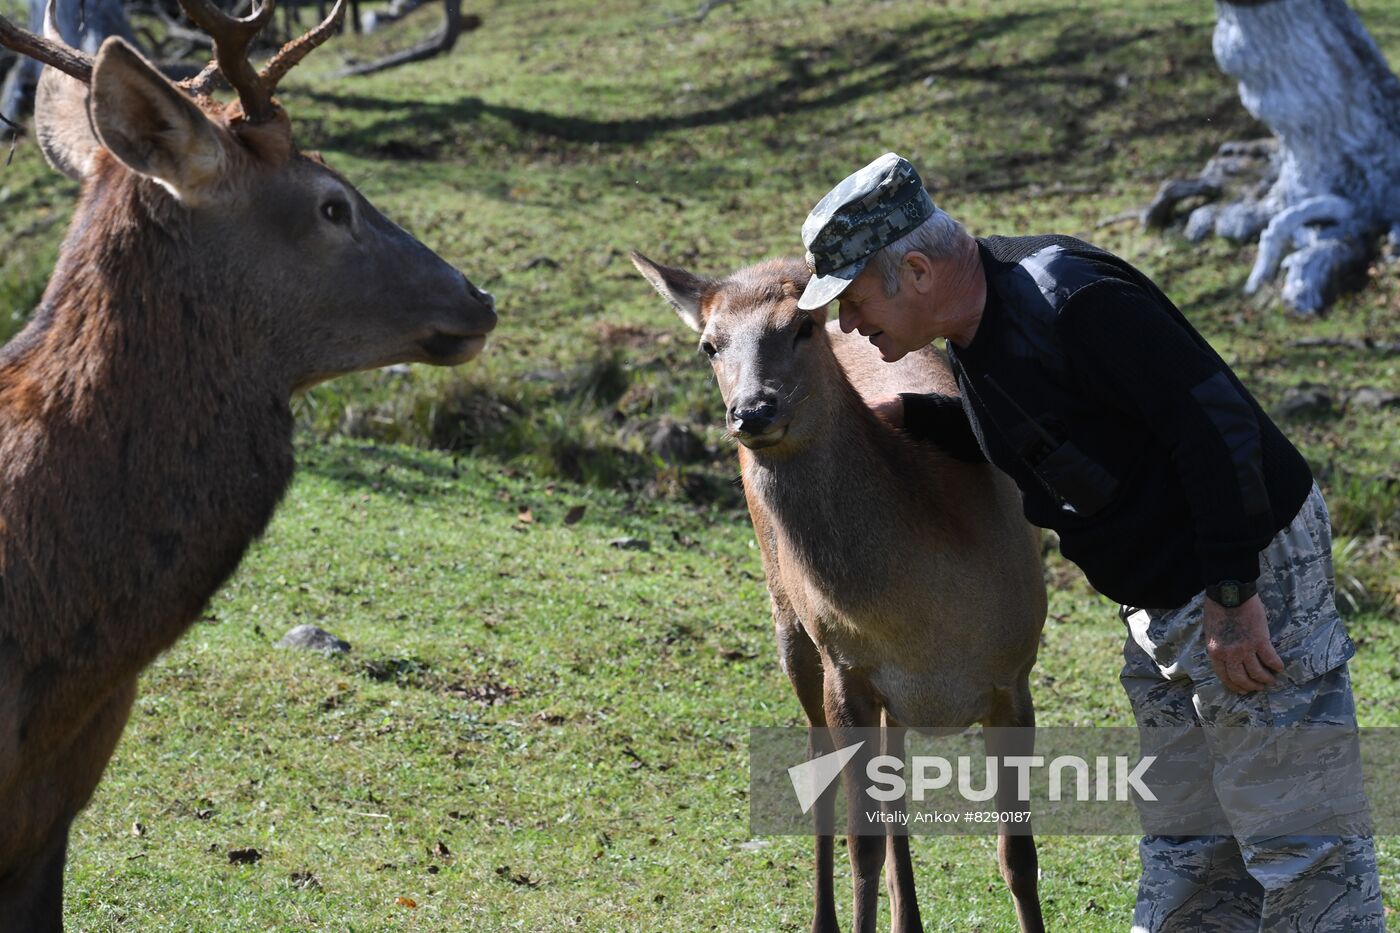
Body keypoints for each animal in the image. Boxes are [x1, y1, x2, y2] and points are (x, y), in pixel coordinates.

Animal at [641, 252, 1047, 930]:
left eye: (800, 326)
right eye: (708, 345)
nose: (752, 411)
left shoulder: (1014, 675)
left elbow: (1017, 853)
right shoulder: (847, 671)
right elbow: (864, 845)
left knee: (896, 790)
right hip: (791, 625)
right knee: (826, 776)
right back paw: (825, 919)